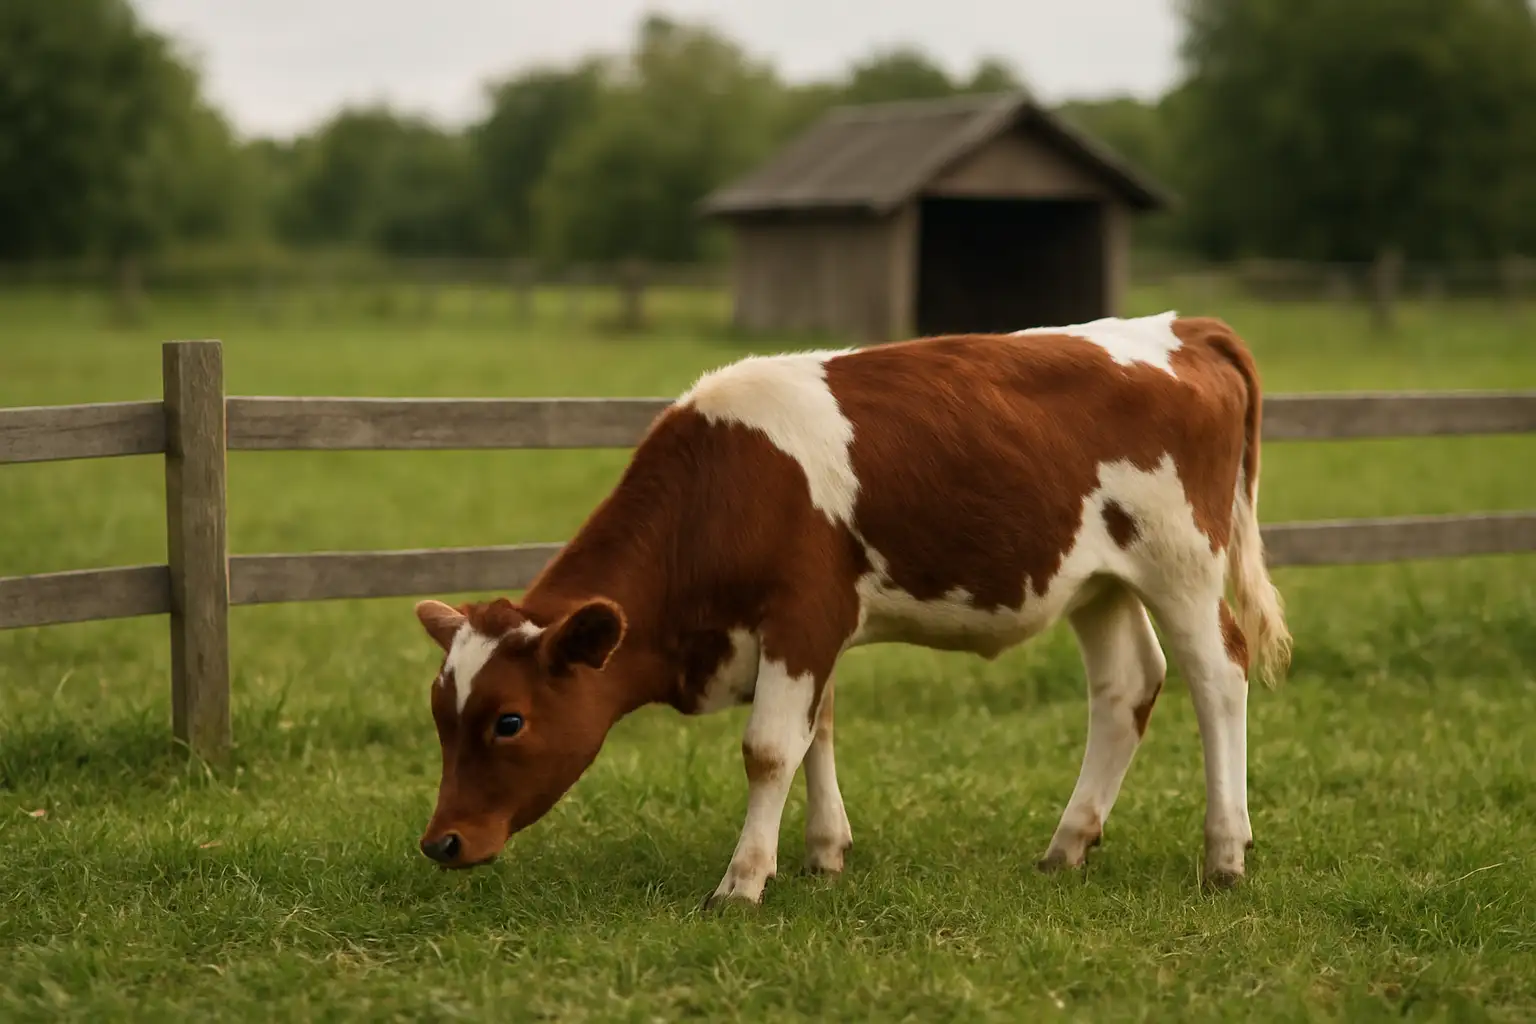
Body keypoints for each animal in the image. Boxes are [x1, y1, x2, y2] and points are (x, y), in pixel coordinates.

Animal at [412, 310, 1292, 904]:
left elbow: (770, 748)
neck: (724, 484)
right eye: (441, 716)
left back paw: (1224, 853)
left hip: (1182, 564)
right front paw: (823, 852)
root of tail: (1180, 326)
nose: (441, 842)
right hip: (1097, 581)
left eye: (510, 720)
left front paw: (743, 880)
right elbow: (818, 733)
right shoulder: (810, 631)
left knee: (1218, 678)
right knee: (1126, 688)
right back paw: (1067, 844)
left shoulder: (803, 615)